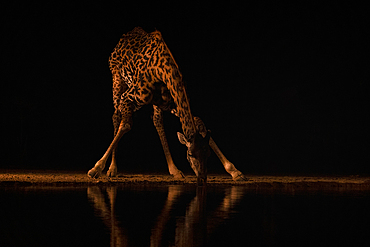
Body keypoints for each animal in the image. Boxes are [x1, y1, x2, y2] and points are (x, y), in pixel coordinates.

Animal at [87, 27, 246, 183]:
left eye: (208, 155)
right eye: (190, 154)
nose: (202, 178)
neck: (164, 71)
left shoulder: (170, 103)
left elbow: (198, 122)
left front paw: (235, 171)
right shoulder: (128, 97)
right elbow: (125, 125)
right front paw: (95, 169)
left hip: (153, 102)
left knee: (157, 120)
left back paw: (174, 170)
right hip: (117, 80)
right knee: (116, 116)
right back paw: (112, 169)